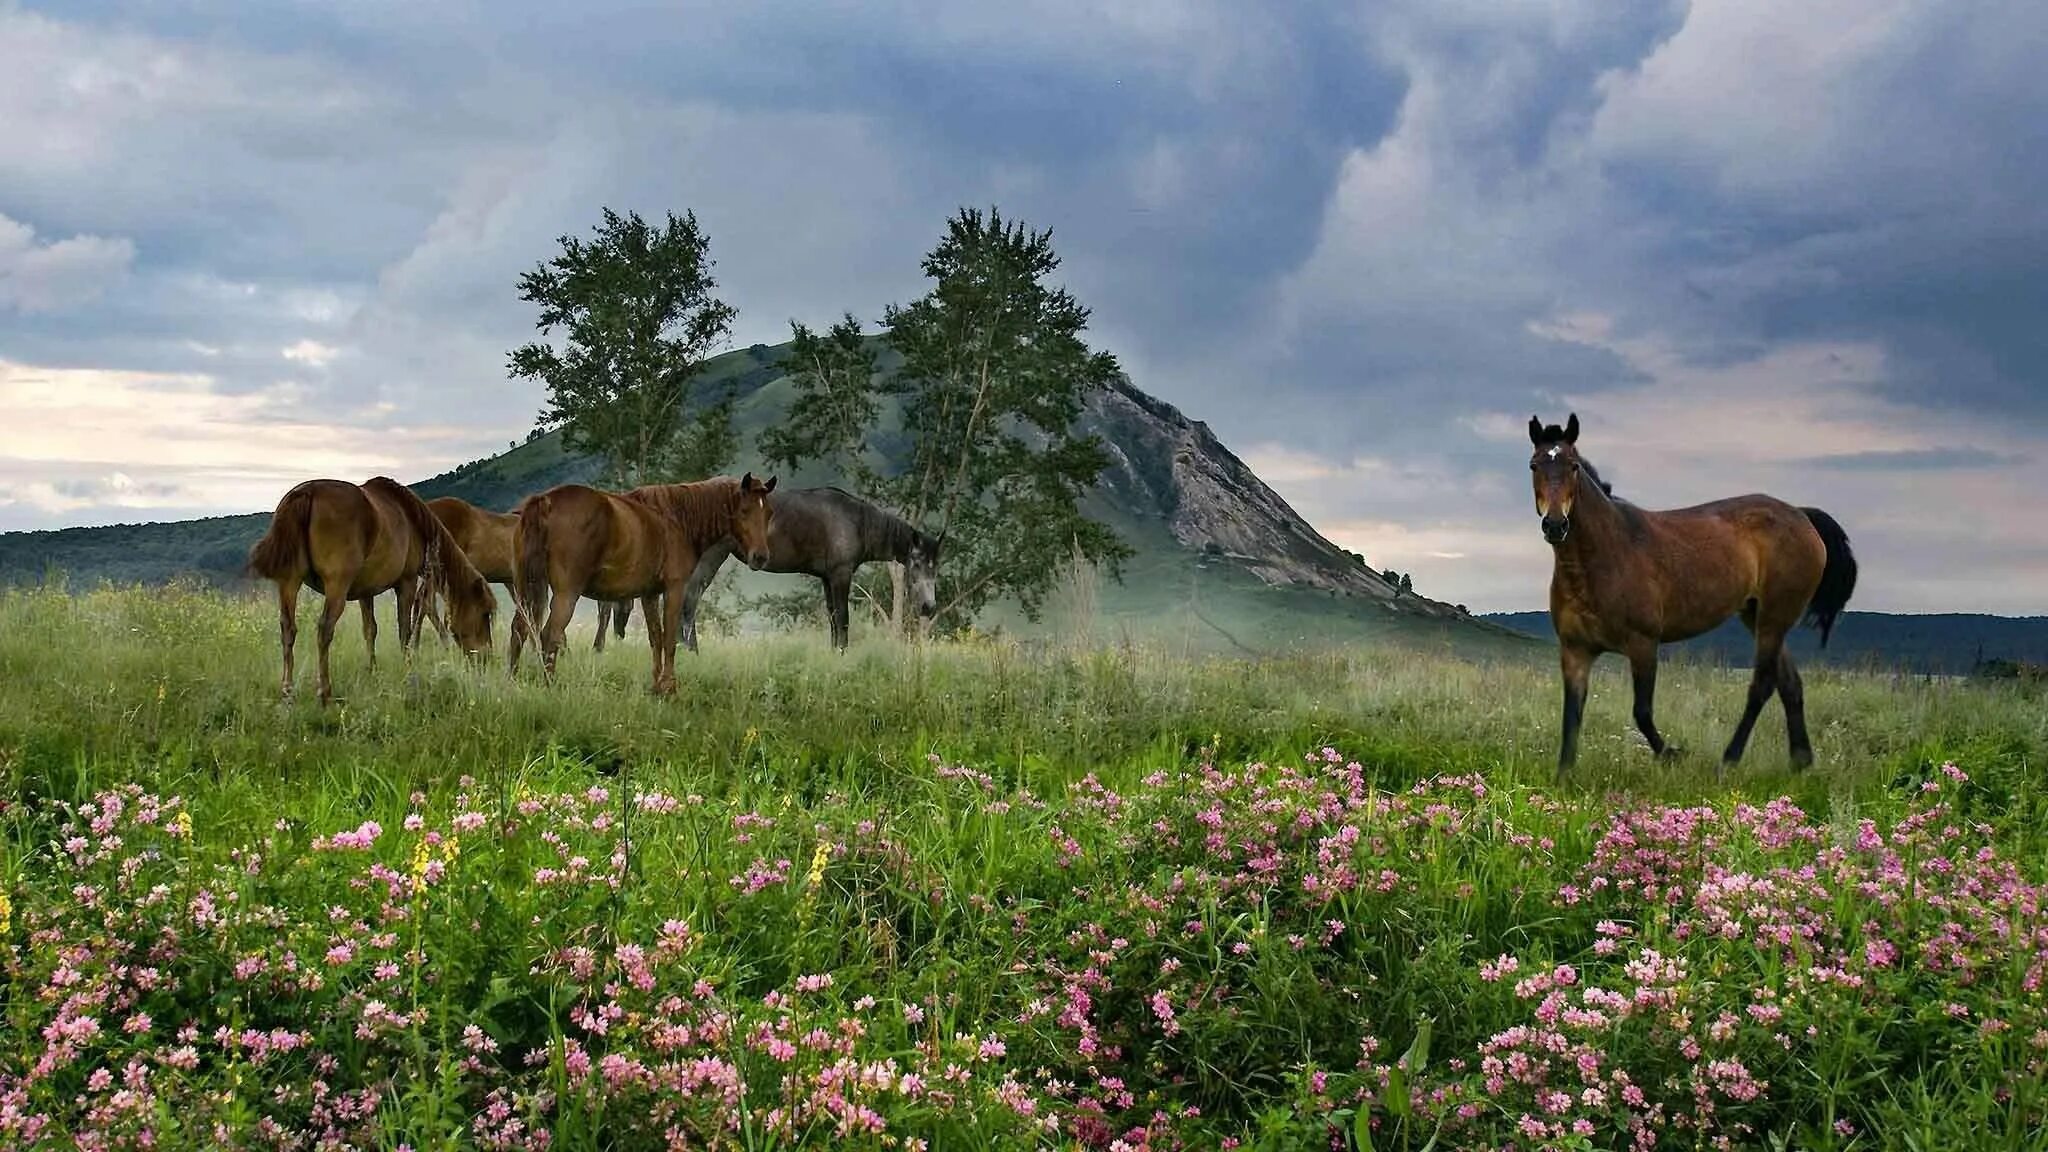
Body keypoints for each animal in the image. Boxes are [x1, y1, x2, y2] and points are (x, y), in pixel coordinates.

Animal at [239, 473, 491, 701]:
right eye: (485, 614)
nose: (486, 658)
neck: (414, 521)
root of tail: (306, 493)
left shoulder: (365, 591)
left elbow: (370, 630)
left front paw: (372, 671)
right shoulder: (407, 583)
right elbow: (404, 630)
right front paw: (408, 670)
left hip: (289, 582)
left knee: (288, 629)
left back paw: (288, 689)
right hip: (336, 586)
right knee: (324, 629)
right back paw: (325, 691)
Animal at [505, 469, 774, 688]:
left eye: (769, 513)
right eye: (744, 510)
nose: (760, 557)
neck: (677, 518)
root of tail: (545, 501)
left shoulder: (649, 594)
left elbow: (655, 637)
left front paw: (656, 686)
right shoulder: (674, 589)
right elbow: (669, 639)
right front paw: (669, 687)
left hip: (526, 590)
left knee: (520, 628)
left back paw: (511, 682)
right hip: (566, 594)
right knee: (550, 635)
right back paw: (549, 685)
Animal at [684, 481, 946, 647]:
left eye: (935, 567)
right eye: (916, 563)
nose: (929, 607)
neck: (857, 522)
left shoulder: (827, 578)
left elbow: (833, 620)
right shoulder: (840, 575)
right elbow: (843, 620)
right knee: (690, 600)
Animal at [1531, 412, 1867, 770]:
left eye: (1573, 466)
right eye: (1534, 465)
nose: (1555, 525)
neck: (1603, 558)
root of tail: (1802, 515)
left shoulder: (1643, 644)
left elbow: (1642, 712)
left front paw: (1673, 753)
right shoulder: (1575, 651)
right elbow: (1571, 721)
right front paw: (1563, 777)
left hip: (1775, 618)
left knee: (1762, 685)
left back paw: (1729, 760)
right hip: (1756, 615)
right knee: (1789, 684)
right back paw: (1800, 761)